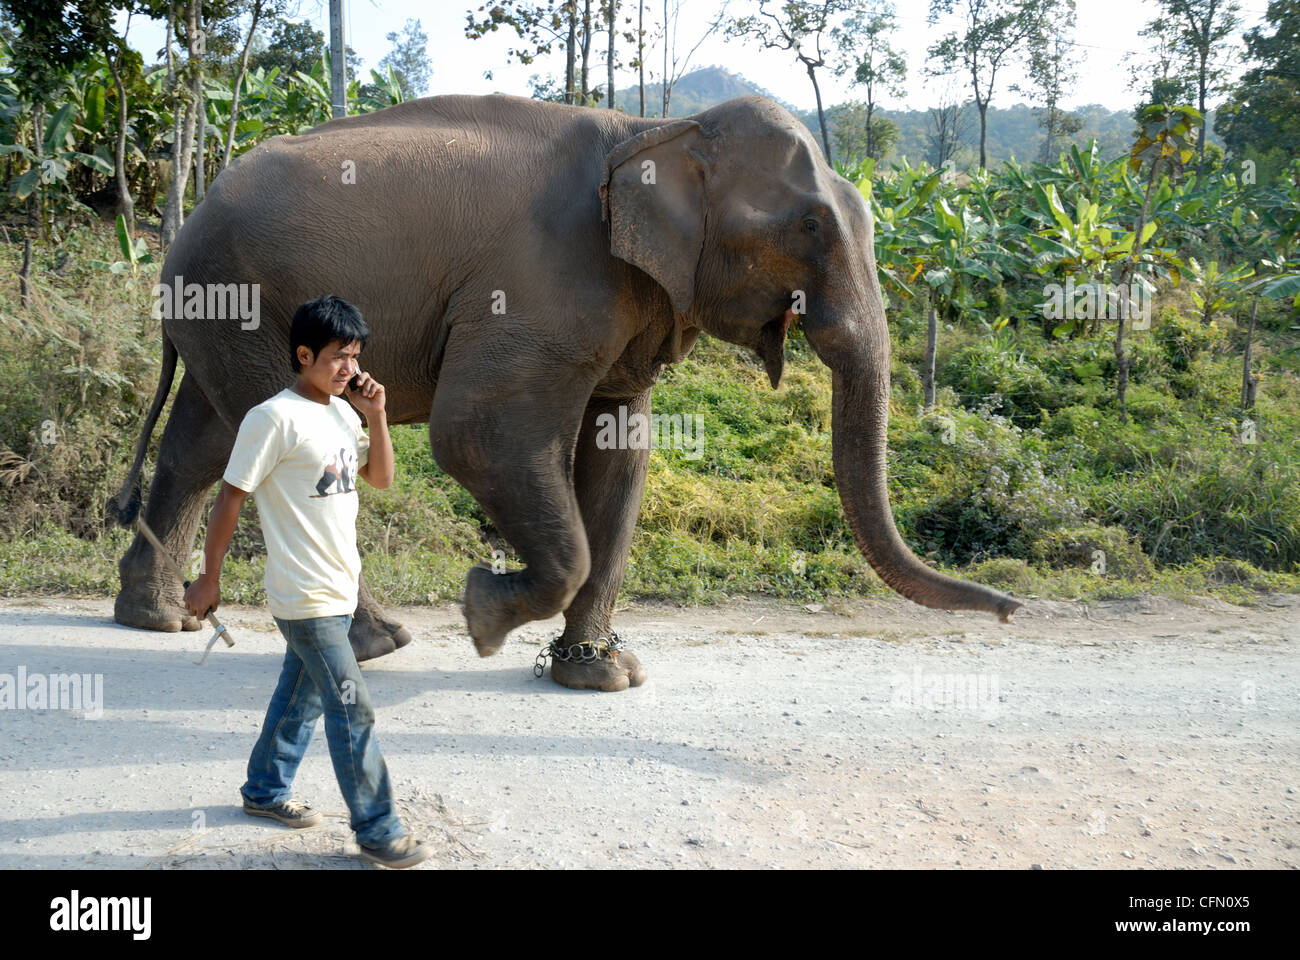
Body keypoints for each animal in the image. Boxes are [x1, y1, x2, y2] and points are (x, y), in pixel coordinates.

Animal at [111, 91, 1019, 686]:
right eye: (811, 227)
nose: (1012, 610)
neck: (655, 131)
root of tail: (183, 219)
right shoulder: (541, 285)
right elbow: (476, 433)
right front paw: (482, 614)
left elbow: (621, 453)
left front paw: (603, 674)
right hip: (239, 293)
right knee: (267, 447)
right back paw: (378, 642)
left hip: (227, 305)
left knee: (207, 440)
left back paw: (162, 619)